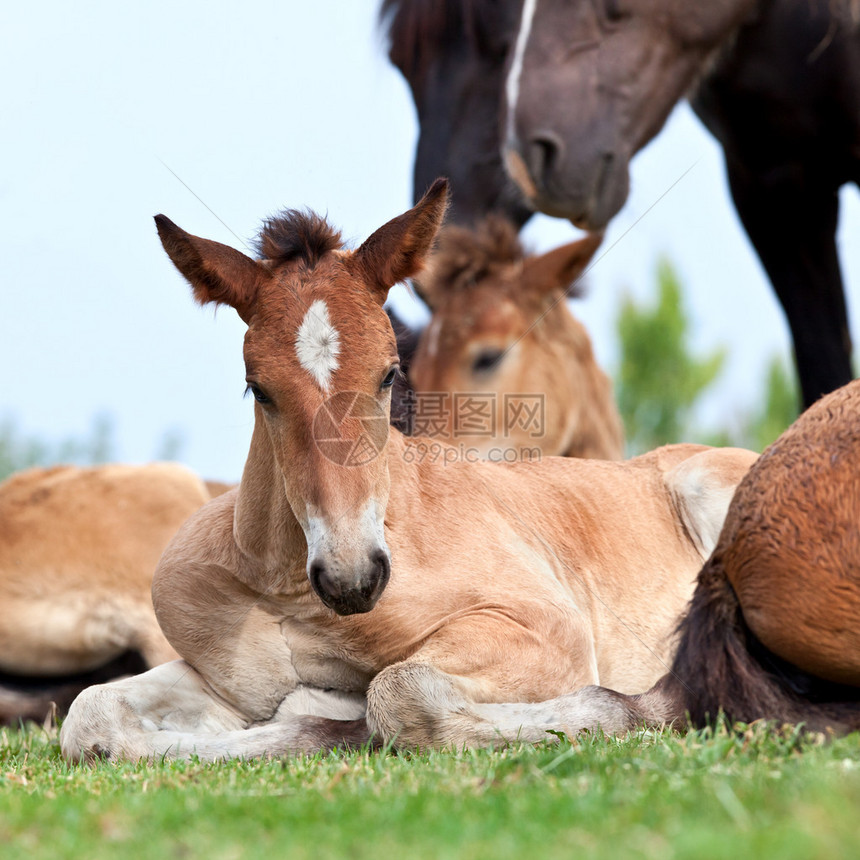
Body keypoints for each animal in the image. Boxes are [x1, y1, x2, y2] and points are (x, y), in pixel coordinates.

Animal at [60, 180, 756, 760]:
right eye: (259, 389)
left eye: (389, 373)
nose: (352, 577)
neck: (286, 590)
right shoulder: (225, 680)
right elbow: (91, 716)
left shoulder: (546, 630)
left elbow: (399, 691)